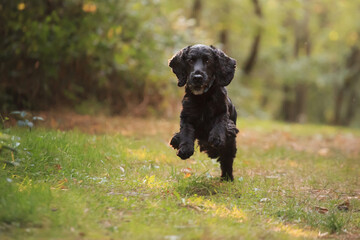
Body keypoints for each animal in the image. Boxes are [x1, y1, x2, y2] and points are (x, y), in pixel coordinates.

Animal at [169, 44, 239, 180]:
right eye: (190, 61)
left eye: (207, 61)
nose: (197, 78)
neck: (203, 97)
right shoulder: (187, 116)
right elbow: (186, 130)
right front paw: (185, 148)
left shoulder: (223, 112)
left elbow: (220, 123)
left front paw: (216, 138)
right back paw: (176, 139)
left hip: (230, 145)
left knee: (227, 159)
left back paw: (227, 177)